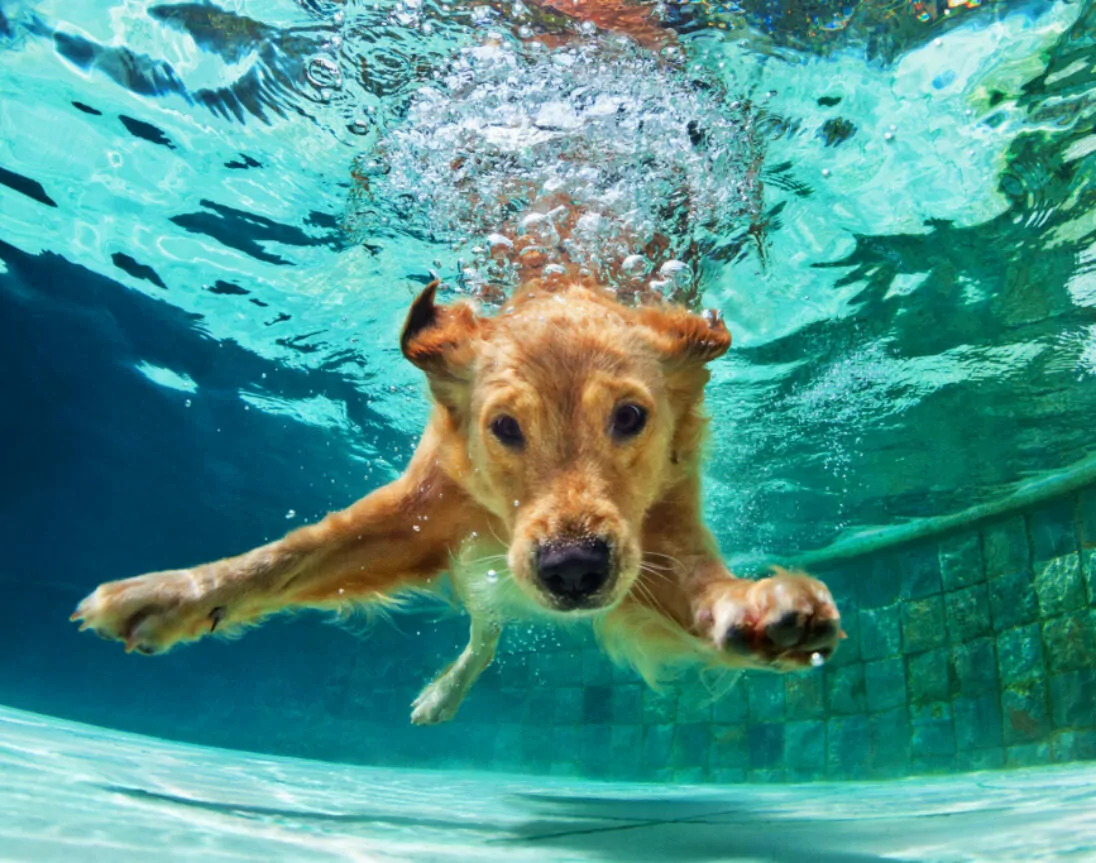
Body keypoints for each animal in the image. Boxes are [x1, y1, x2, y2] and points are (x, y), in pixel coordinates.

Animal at [70, 0, 837, 728]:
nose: (573, 571)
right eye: (504, 427)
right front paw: (168, 595)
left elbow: (704, 591)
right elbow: (287, 555)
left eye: (630, 417)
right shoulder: (419, 509)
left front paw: (760, 611)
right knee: (485, 628)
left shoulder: (663, 531)